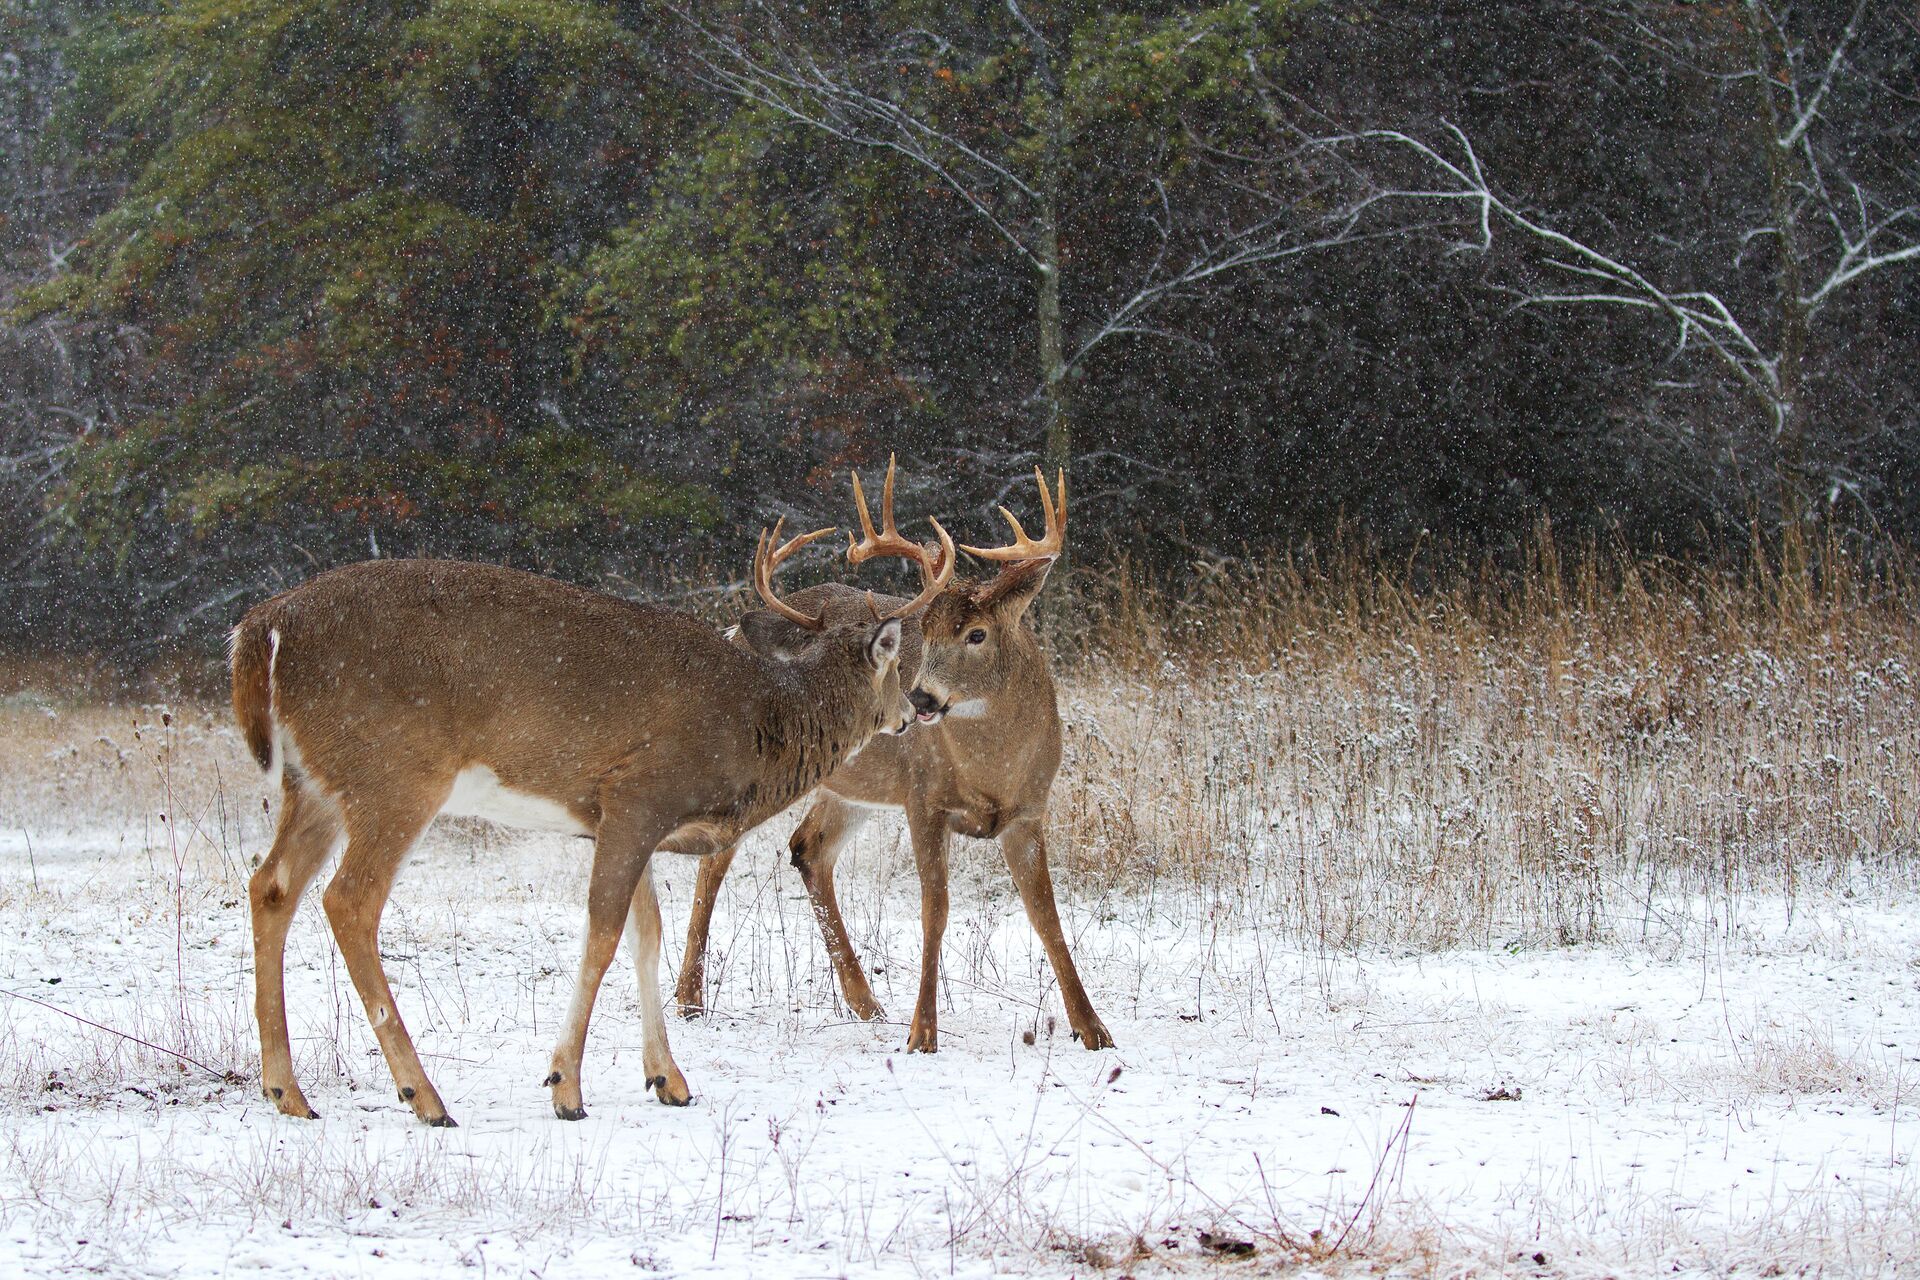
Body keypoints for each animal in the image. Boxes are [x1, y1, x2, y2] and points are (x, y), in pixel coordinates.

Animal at [230, 506, 954, 1126]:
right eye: (899, 662)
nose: (917, 708)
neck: (758, 720)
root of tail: (261, 626)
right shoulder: (639, 794)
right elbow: (603, 935)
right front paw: (566, 1088)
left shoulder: (618, 819)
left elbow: (646, 934)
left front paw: (669, 1080)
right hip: (394, 775)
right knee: (348, 900)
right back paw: (424, 1097)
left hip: (313, 782)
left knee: (270, 886)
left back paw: (287, 1092)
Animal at [659, 464, 1113, 1054]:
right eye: (928, 633)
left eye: (977, 633)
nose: (919, 699)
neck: (994, 771)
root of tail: (736, 630)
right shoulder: (923, 799)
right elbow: (935, 911)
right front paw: (923, 1033)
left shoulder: (1028, 812)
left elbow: (1047, 916)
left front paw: (1093, 1028)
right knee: (716, 857)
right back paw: (689, 1000)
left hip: (850, 789)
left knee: (807, 850)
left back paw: (864, 1003)